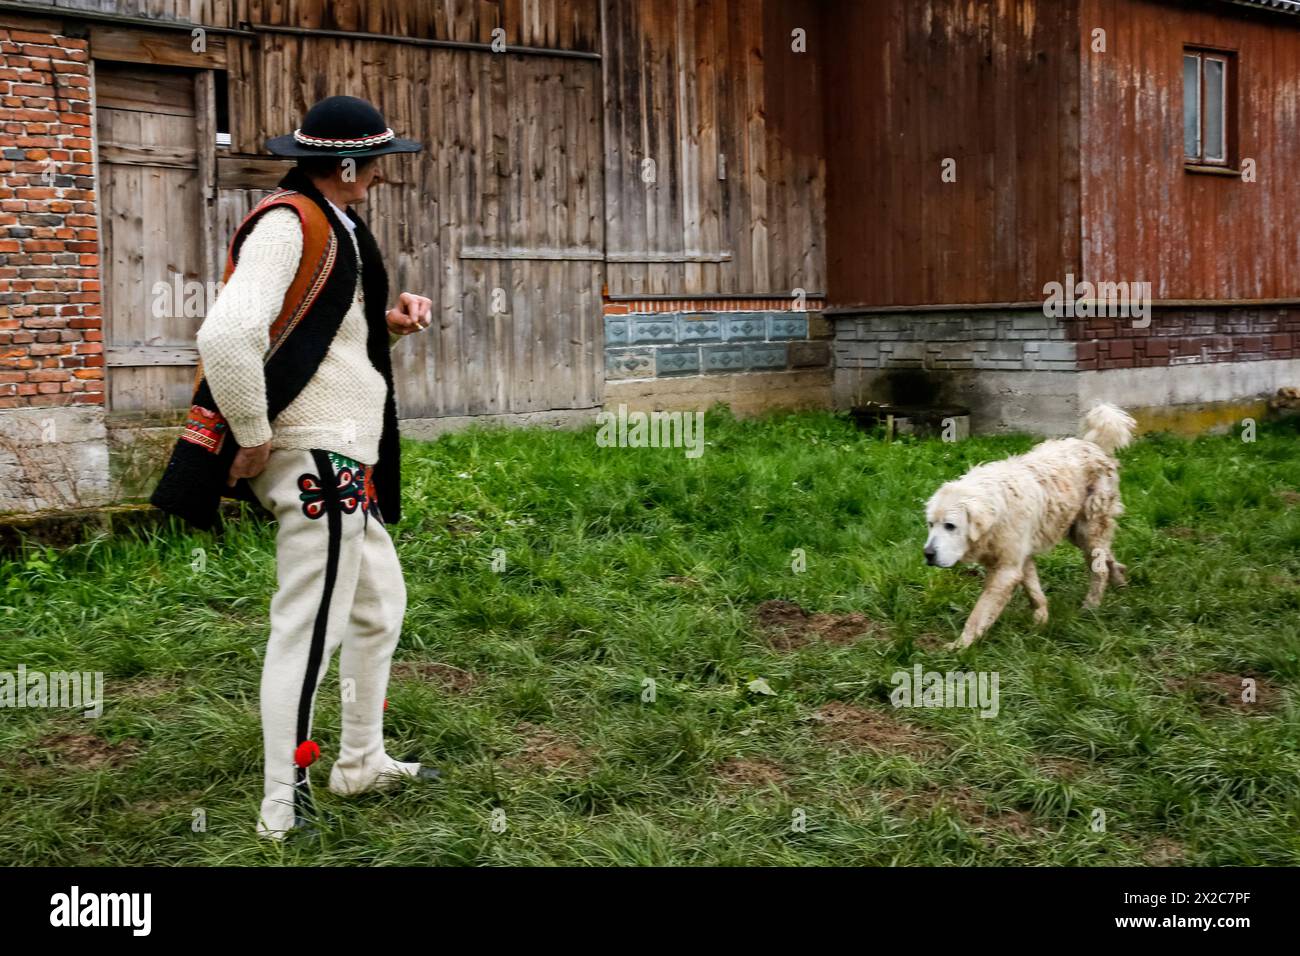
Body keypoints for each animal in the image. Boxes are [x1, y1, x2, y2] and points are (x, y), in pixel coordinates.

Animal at [925, 403, 1138, 650]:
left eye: (950, 526)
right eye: (931, 524)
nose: (927, 554)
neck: (997, 509)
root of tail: (1094, 446)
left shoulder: (1006, 569)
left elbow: (979, 613)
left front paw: (961, 645)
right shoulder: (1021, 559)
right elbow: (1034, 592)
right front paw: (1041, 619)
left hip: (1088, 529)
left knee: (1099, 568)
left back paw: (1091, 606)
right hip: (1079, 531)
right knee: (1107, 555)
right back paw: (1120, 581)